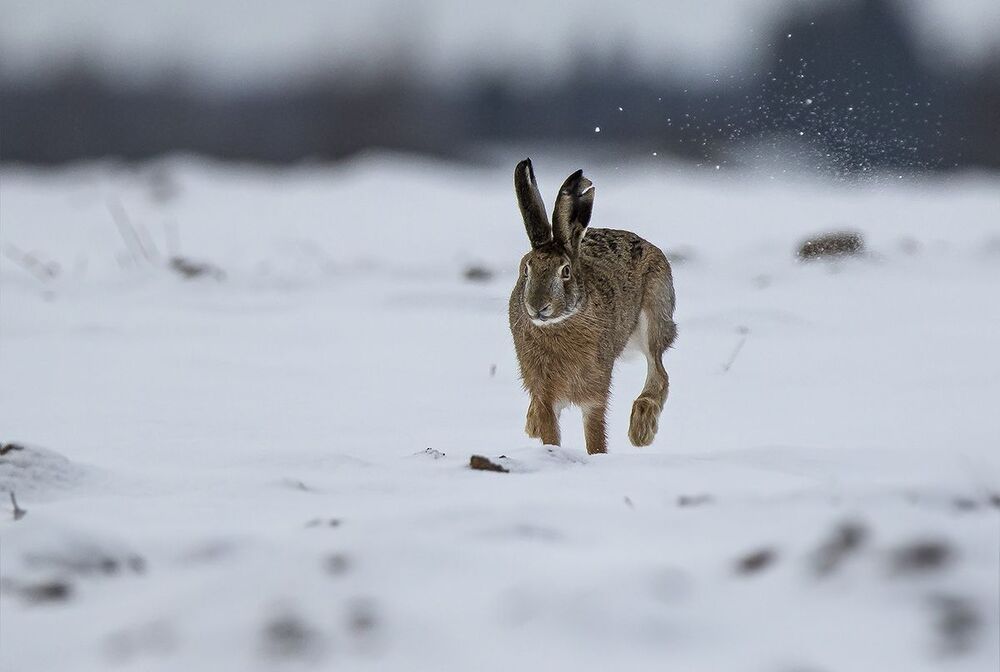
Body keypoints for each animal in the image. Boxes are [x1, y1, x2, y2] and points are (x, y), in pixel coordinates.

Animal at [508, 159, 677, 455]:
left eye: (565, 271)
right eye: (525, 270)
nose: (538, 306)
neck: (561, 323)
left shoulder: (595, 389)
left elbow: (595, 430)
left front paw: (598, 455)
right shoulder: (543, 391)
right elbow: (550, 429)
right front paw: (548, 447)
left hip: (654, 318)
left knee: (659, 372)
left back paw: (641, 432)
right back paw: (531, 425)